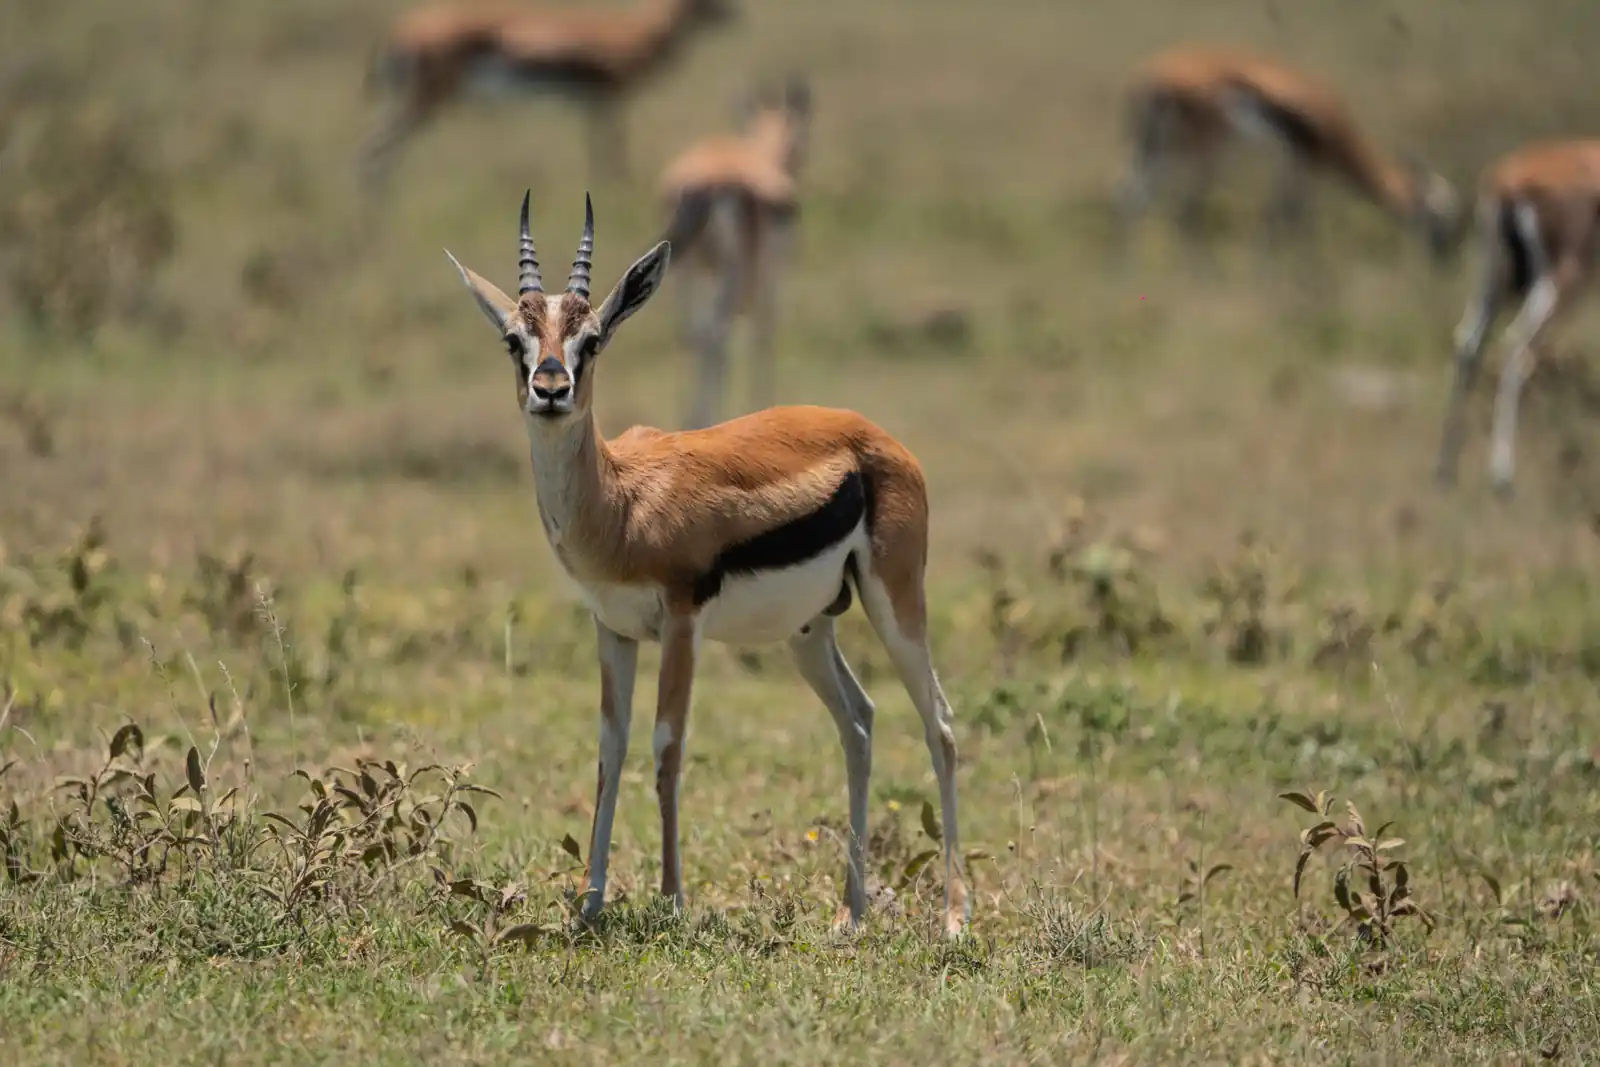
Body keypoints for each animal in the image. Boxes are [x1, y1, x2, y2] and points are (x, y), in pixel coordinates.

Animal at [360, 0, 738, 191]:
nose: (735, 15)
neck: (635, 32)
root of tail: (404, 30)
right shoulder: (608, 102)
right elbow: (612, 151)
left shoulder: (593, 106)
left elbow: (600, 152)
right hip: (427, 101)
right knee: (376, 148)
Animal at [442, 192, 969, 936]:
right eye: (516, 340)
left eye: (592, 340)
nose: (551, 388)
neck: (621, 501)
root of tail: (878, 437)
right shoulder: (614, 629)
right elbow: (610, 749)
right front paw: (588, 905)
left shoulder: (682, 623)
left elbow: (667, 744)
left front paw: (671, 899)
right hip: (809, 630)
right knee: (860, 720)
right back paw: (852, 912)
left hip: (896, 604)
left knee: (941, 725)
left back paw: (954, 918)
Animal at [657, 75, 812, 429]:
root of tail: (710, 182)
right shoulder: (770, 274)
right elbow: (764, 332)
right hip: (734, 270)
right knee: (717, 331)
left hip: (681, 269)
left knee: (693, 332)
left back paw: (689, 419)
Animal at [1115, 44, 1461, 262]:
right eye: (1437, 214)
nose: (1446, 258)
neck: (1331, 121)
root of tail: (1150, 79)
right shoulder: (1304, 166)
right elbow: (1294, 218)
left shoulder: (1290, 166)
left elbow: (1282, 215)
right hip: (1199, 154)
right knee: (1187, 212)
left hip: (1155, 151)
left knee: (1130, 199)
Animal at [1434, 139, 1600, 495]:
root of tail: (1506, 180)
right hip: (1558, 283)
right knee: (1515, 348)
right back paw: (1502, 478)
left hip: (1494, 280)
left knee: (1467, 344)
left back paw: (1444, 473)